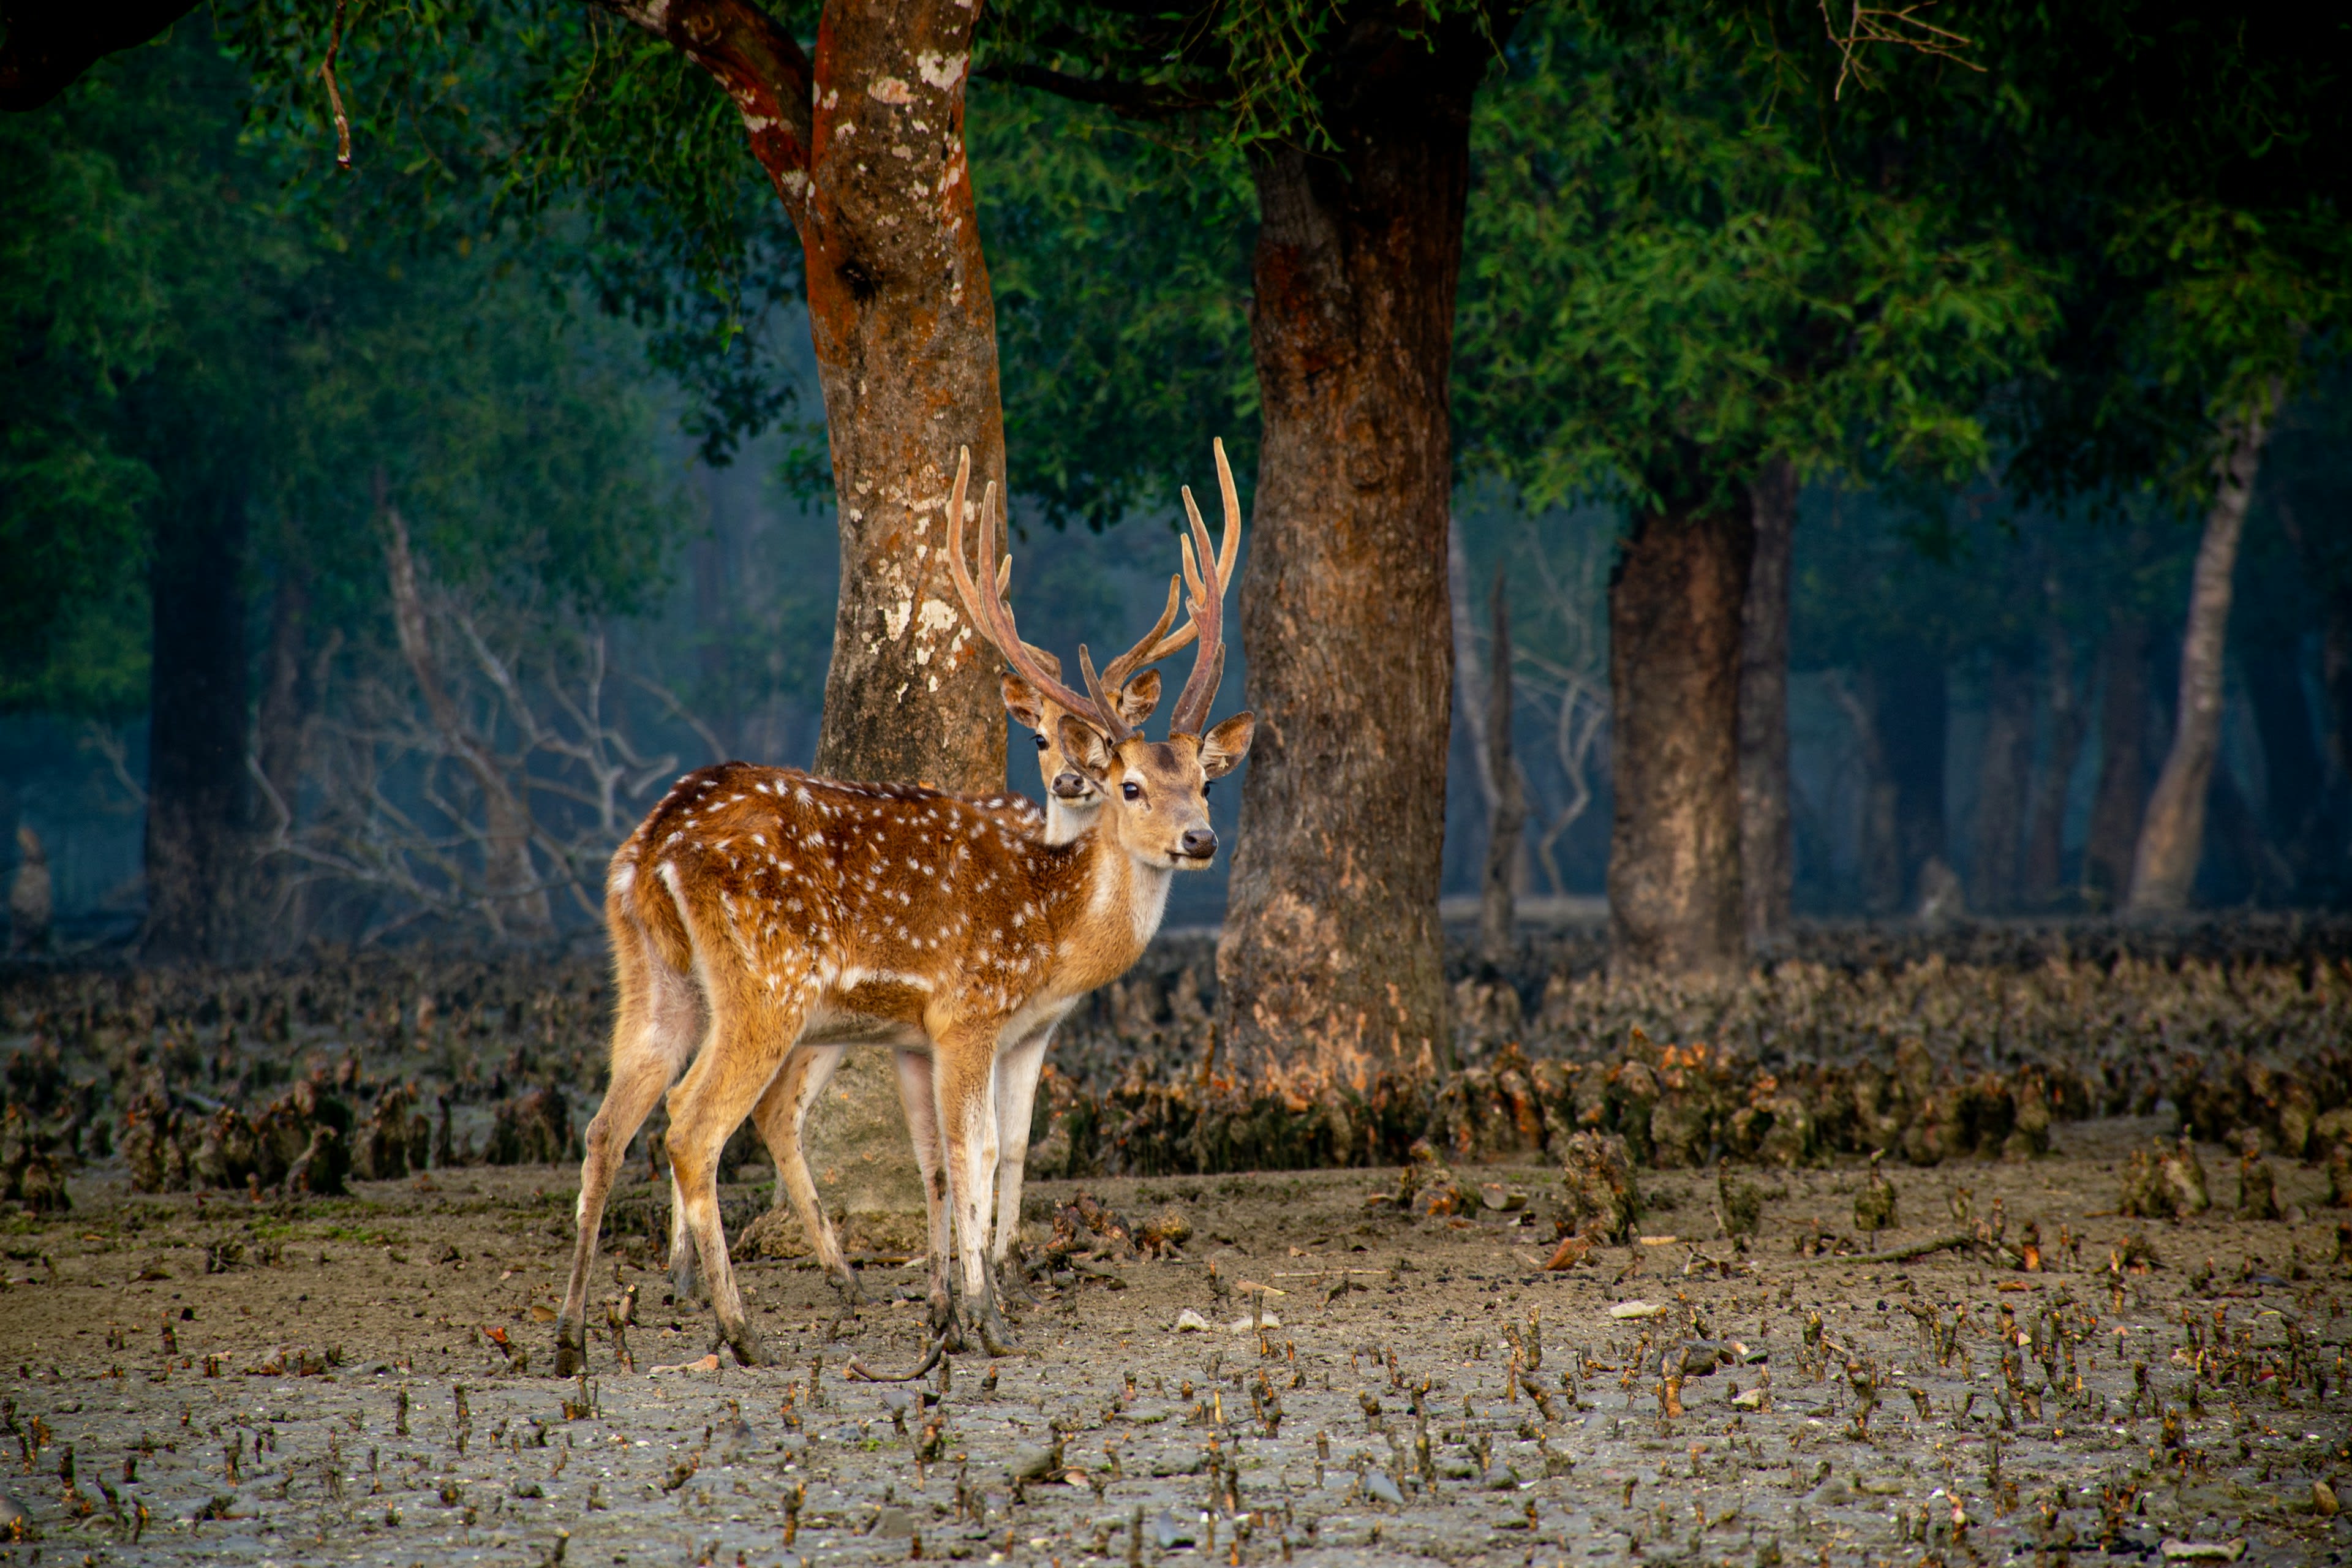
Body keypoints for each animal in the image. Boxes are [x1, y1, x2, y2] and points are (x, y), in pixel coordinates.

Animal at [555, 444, 1253, 1372]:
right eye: (1132, 785)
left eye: (1204, 781)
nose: (1200, 839)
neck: (1049, 928)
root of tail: (654, 845)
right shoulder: (968, 1009)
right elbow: (977, 1149)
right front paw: (988, 1319)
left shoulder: (927, 1036)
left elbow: (945, 1161)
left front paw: (951, 1313)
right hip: (766, 983)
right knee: (693, 1126)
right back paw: (742, 1330)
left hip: (652, 975)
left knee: (605, 1127)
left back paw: (571, 1337)